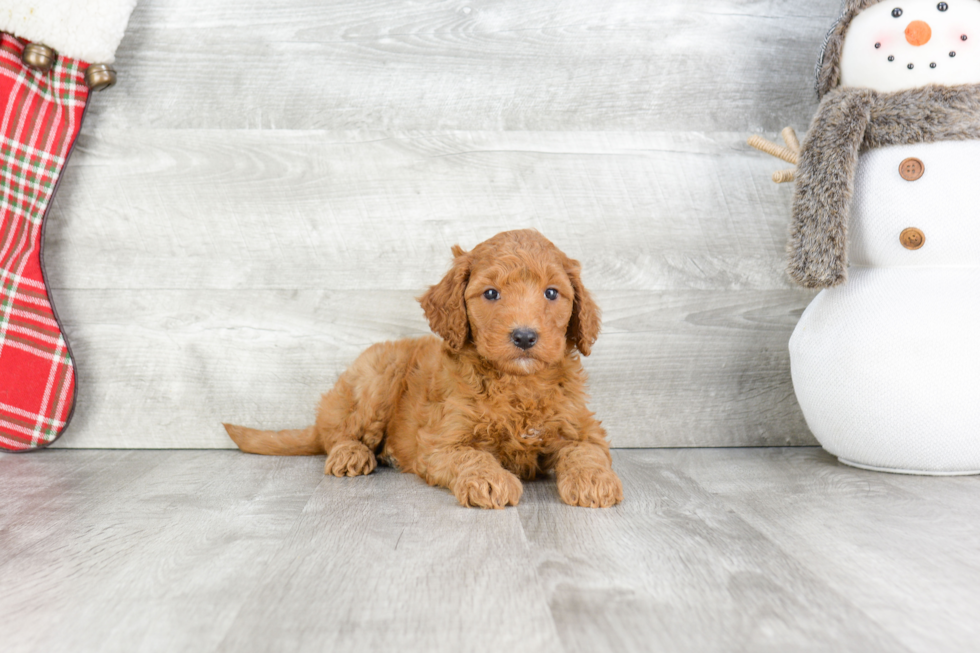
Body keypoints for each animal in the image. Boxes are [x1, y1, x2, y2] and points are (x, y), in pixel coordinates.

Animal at [224, 229, 620, 510]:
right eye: (491, 294)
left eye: (552, 293)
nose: (524, 336)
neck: (516, 382)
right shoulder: (442, 442)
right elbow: (473, 455)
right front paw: (489, 480)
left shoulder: (582, 428)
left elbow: (586, 451)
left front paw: (593, 480)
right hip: (376, 376)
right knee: (336, 433)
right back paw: (351, 454)